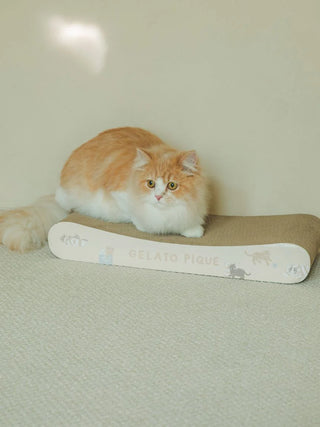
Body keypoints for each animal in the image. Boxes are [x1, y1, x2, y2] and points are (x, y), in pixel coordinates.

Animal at [0, 127, 209, 254]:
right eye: (150, 183)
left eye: (172, 185)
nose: (158, 197)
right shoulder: (118, 197)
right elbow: (137, 218)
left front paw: (193, 231)